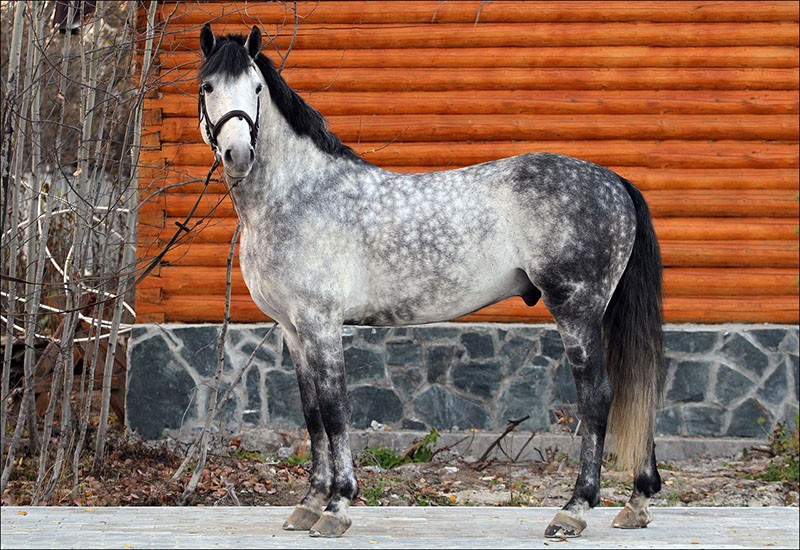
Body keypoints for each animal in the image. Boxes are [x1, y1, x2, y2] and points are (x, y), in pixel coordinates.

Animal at [197, 24, 664, 540]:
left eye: (257, 88)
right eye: (208, 87)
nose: (238, 154)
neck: (300, 196)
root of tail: (615, 181)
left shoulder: (321, 325)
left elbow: (335, 411)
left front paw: (337, 506)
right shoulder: (294, 331)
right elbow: (313, 414)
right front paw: (310, 503)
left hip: (576, 310)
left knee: (598, 397)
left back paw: (575, 509)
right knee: (636, 394)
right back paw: (637, 503)